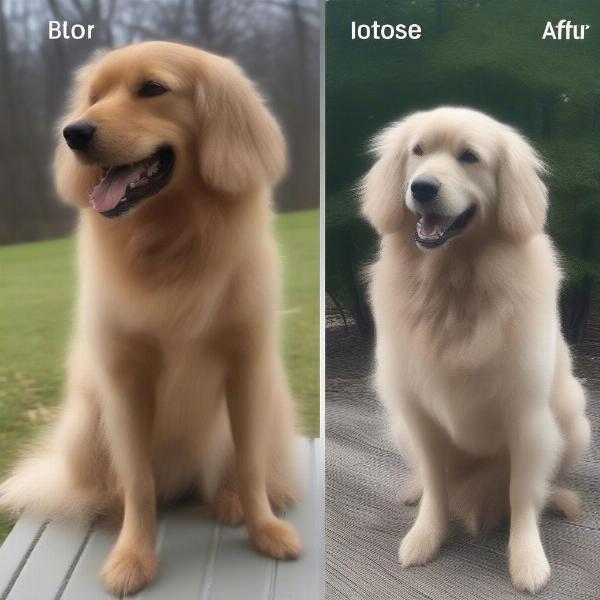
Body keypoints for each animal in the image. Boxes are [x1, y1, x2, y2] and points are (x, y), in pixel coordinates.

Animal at [0, 41, 300, 596]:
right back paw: (110, 514)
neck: (171, 240)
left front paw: (264, 528)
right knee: (110, 489)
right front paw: (132, 558)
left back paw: (232, 500)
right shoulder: (126, 383)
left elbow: (249, 465)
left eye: (153, 89)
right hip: (88, 423)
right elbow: (138, 483)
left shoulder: (246, 371)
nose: (74, 132)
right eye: (94, 97)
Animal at [360, 106, 592, 592]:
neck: (454, 283)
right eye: (418, 151)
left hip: (575, 422)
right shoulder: (419, 415)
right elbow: (436, 483)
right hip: (401, 429)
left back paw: (558, 498)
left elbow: (522, 492)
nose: (422, 187)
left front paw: (527, 558)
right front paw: (425, 536)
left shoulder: (526, 414)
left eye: (469, 156)